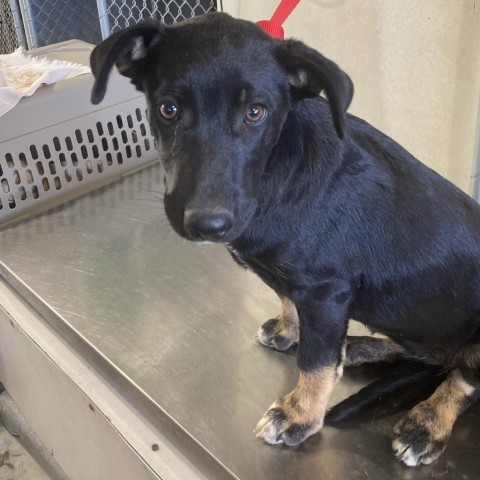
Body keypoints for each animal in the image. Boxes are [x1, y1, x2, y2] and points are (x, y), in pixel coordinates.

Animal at [90, 12, 480, 468]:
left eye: (256, 112)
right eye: (167, 109)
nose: (207, 224)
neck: (276, 171)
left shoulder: (327, 293)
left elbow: (315, 362)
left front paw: (300, 415)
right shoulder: (303, 289)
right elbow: (289, 301)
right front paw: (292, 332)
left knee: (463, 380)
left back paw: (428, 423)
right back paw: (362, 347)